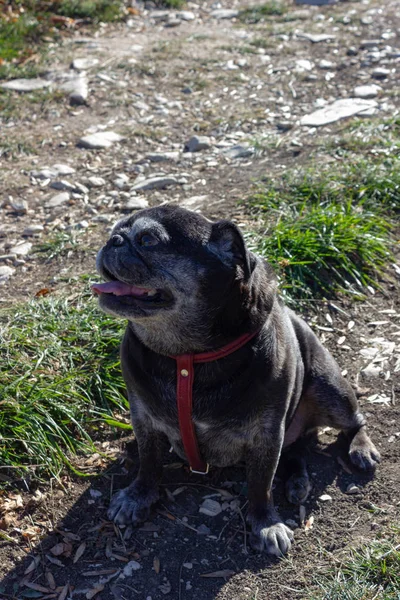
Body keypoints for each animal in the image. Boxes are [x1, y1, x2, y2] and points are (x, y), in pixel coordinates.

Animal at [92, 204, 380, 556]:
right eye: (114, 231)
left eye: (147, 240)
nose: (113, 240)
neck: (186, 356)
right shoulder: (144, 421)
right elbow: (148, 464)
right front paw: (137, 497)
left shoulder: (266, 435)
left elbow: (260, 486)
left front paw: (266, 524)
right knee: (296, 448)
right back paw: (297, 481)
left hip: (330, 391)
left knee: (354, 421)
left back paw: (360, 449)